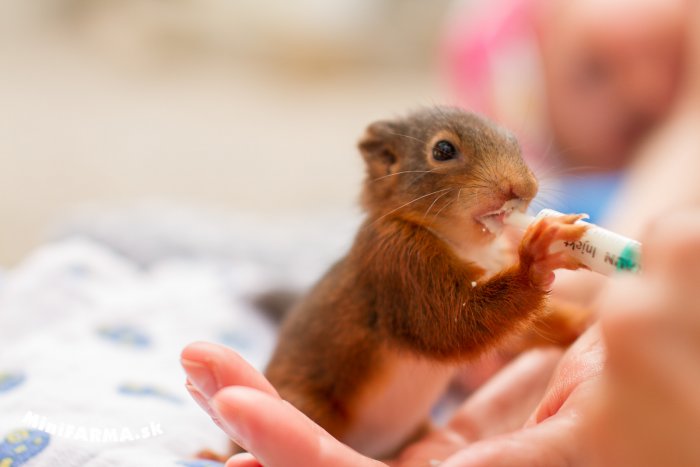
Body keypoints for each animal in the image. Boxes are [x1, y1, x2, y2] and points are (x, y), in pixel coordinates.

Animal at [235, 107, 584, 460]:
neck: (464, 243)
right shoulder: (400, 263)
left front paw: (579, 324)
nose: (522, 189)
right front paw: (535, 262)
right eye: (443, 150)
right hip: (311, 405)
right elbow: (453, 323)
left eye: (514, 141)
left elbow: (519, 331)